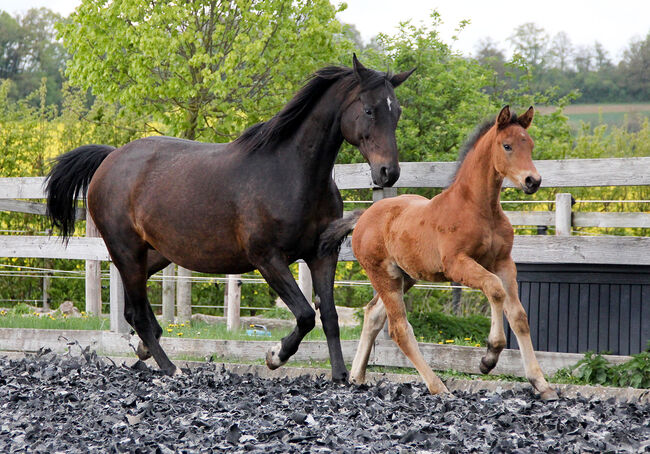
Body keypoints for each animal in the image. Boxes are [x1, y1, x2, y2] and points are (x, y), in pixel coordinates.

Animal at [45, 55, 412, 380]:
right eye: (369, 110)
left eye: (396, 112)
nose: (388, 172)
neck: (291, 174)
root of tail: (110, 159)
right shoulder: (267, 258)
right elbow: (306, 314)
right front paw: (274, 356)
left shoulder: (323, 254)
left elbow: (330, 316)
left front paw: (340, 376)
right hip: (127, 250)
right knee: (135, 310)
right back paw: (171, 368)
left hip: (155, 254)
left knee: (134, 308)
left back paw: (145, 348)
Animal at [318, 104, 556, 400]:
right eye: (507, 145)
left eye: (530, 145)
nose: (532, 181)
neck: (480, 208)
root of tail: (363, 218)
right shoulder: (457, 264)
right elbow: (494, 289)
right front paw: (488, 357)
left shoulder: (504, 263)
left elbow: (519, 317)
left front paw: (541, 384)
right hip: (384, 275)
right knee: (399, 328)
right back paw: (438, 386)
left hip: (405, 276)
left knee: (373, 314)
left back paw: (357, 377)